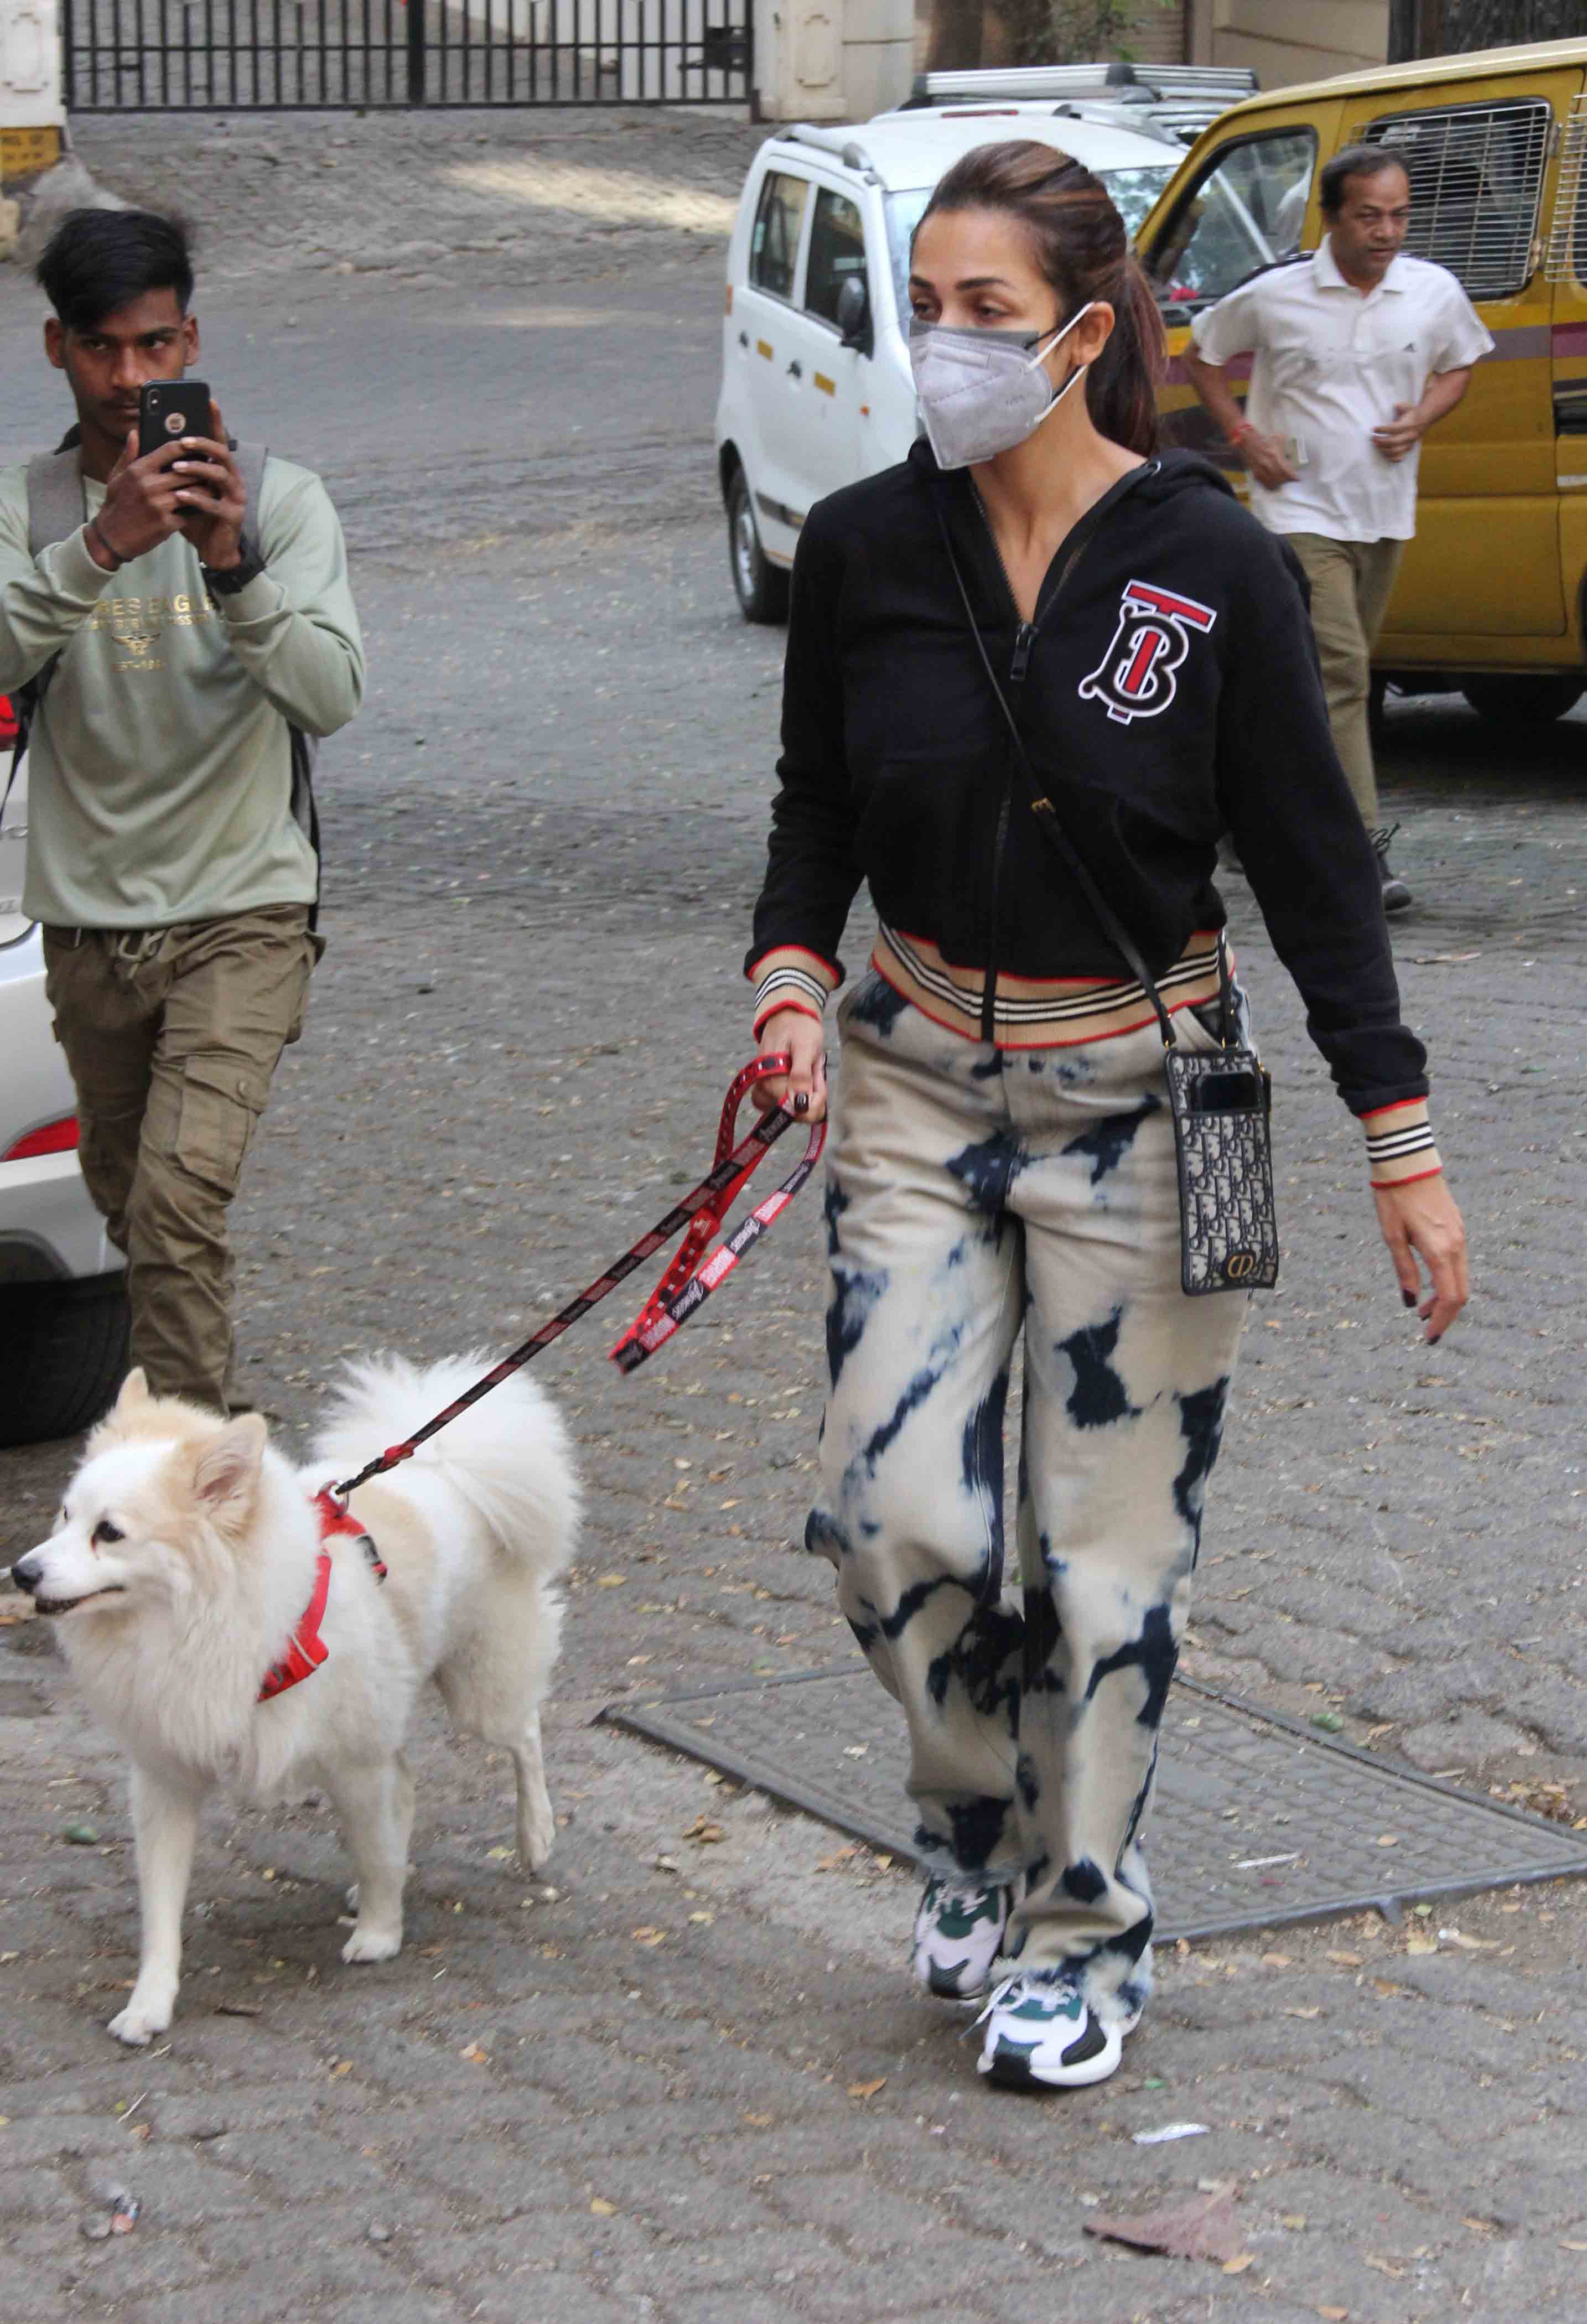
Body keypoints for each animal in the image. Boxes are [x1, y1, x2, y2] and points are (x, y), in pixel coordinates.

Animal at [9, 1357, 580, 2054]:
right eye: (64, 1516)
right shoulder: (167, 1779)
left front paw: (380, 1934)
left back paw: (535, 1836)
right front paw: (149, 2005)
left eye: (109, 1534)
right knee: (412, 1782)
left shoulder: (354, 1762)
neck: (201, 1618)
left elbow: (375, 1848)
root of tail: (446, 1469)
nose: (23, 1573)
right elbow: (161, 1910)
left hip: (478, 1691)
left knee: (524, 1735)